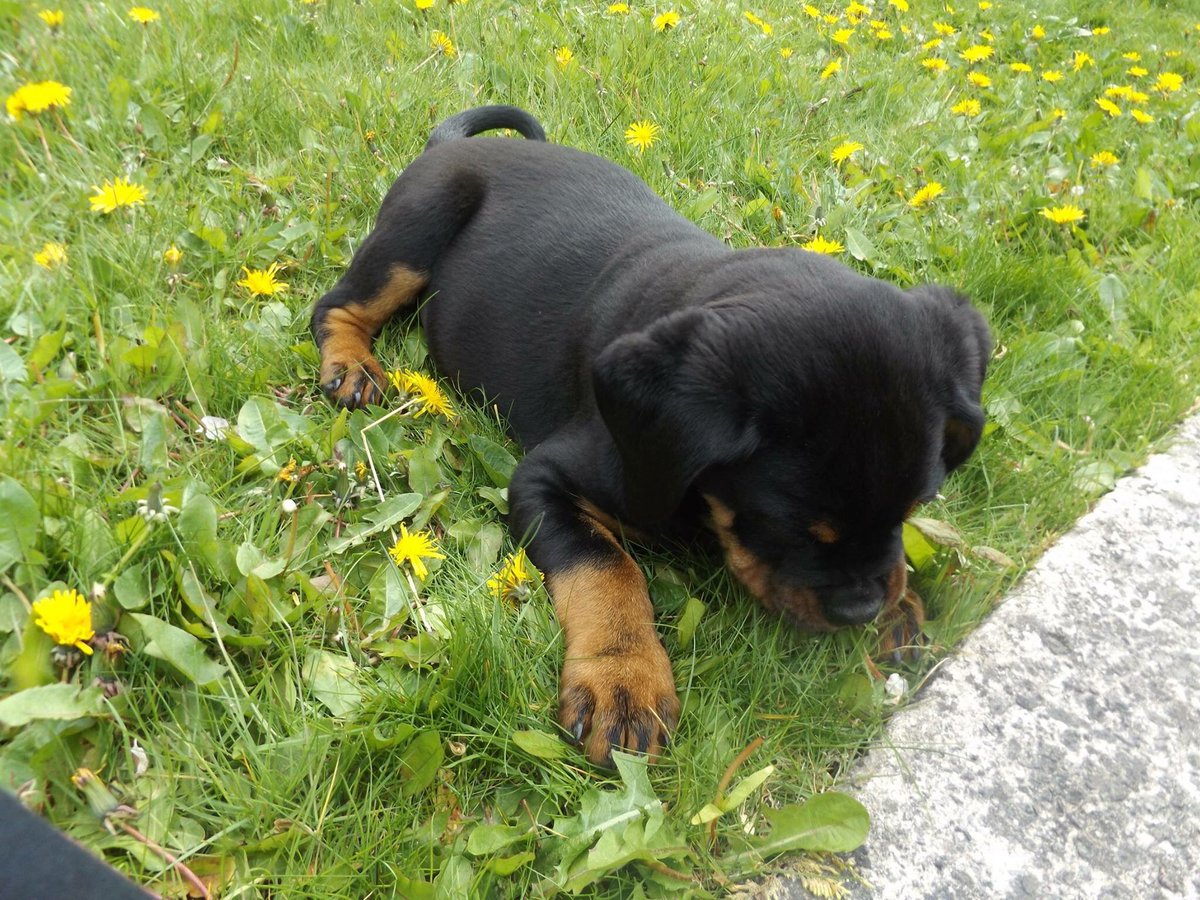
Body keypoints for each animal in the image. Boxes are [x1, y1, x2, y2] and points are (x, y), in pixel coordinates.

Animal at [312, 105, 993, 768]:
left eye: (917, 506)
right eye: (788, 526)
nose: (859, 610)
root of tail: (451, 145)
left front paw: (901, 604)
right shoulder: (544, 478)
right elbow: (606, 566)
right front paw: (623, 682)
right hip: (415, 232)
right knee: (338, 304)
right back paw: (352, 366)